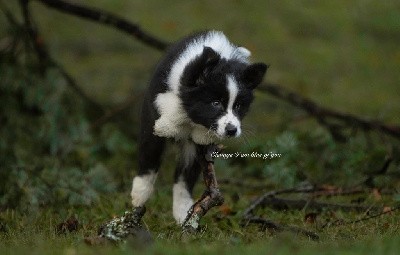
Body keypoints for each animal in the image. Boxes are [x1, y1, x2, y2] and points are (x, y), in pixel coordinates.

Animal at [131, 30, 268, 224]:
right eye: (215, 103)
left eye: (238, 106)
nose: (232, 130)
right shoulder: (154, 108)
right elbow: (150, 156)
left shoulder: (198, 148)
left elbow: (186, 174)